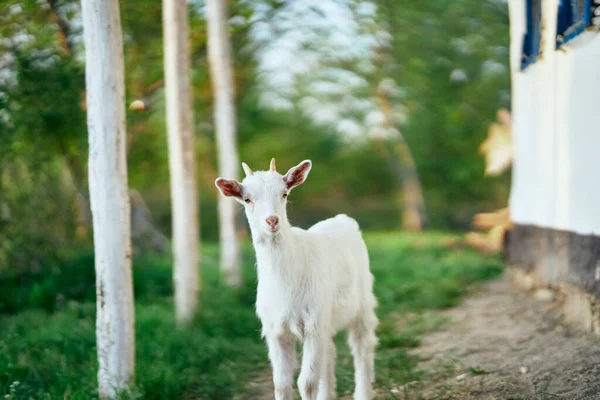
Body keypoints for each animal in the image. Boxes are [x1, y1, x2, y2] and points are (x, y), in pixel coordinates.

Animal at [213, 159, 378, 400]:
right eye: (247, 199)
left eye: (284, 193)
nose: (272, 221)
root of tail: (342, 219)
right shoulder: (276, 331)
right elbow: (281, 385)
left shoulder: (313, 324)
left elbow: (306, 383)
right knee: (329, 354)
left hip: (362, 301)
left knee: (362, 346)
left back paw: (363, 391)